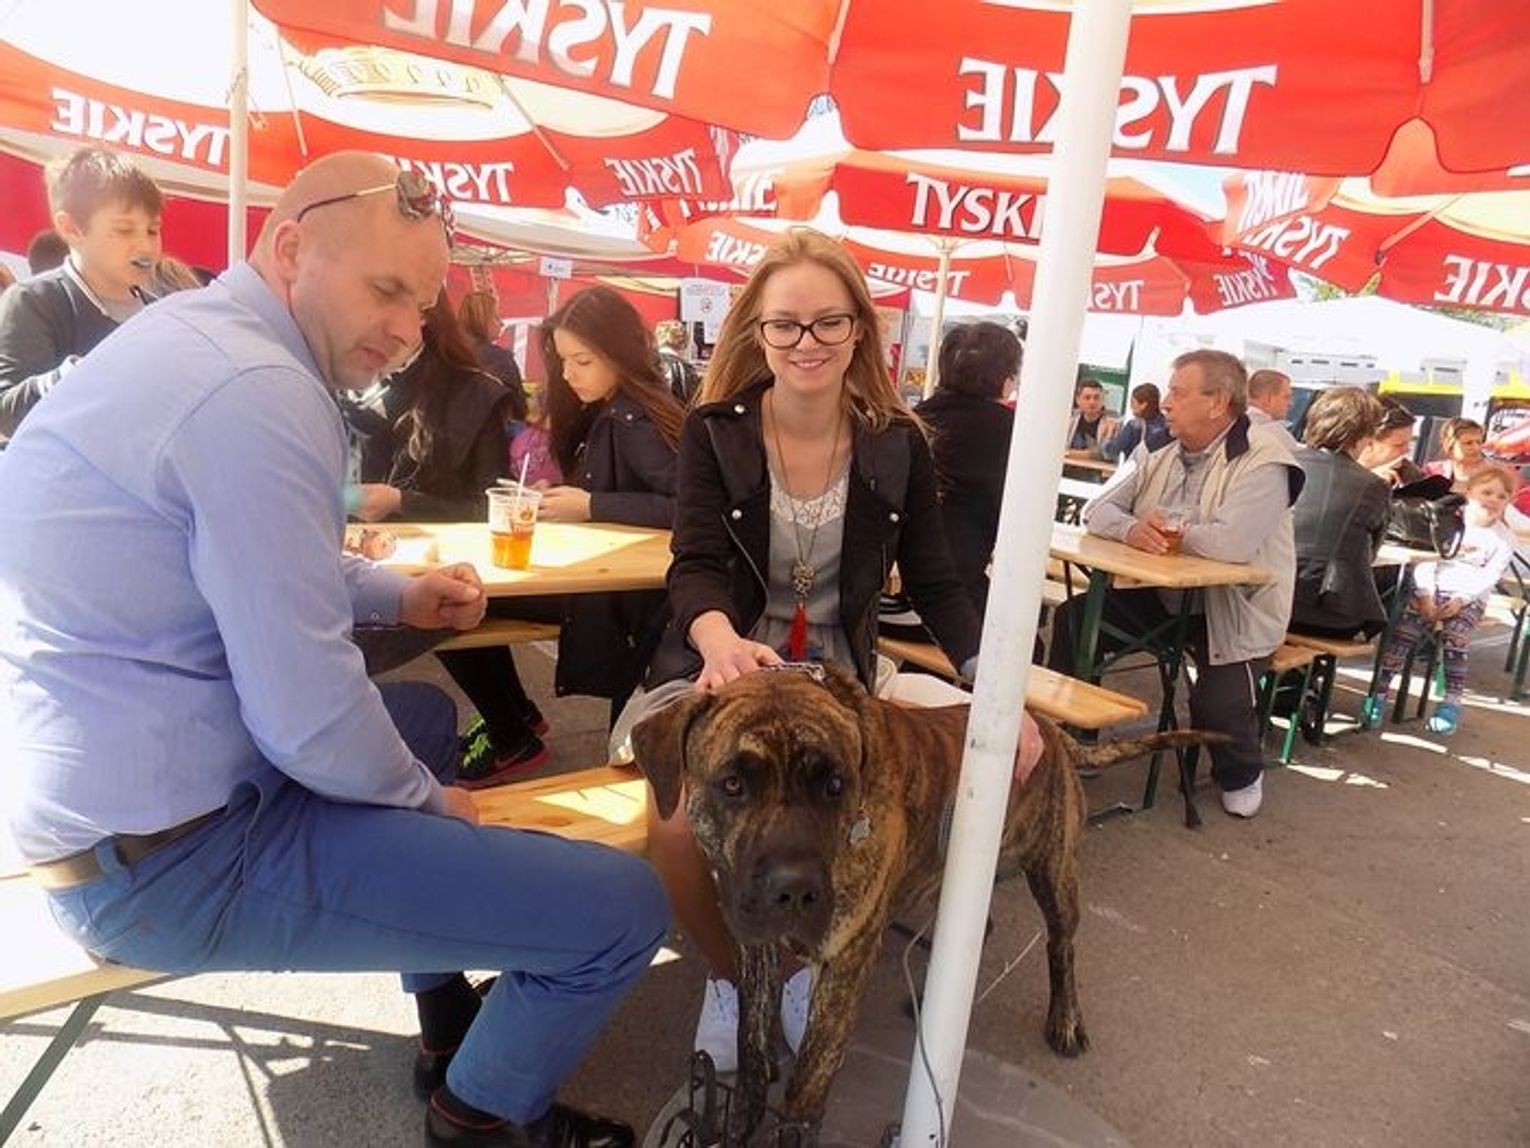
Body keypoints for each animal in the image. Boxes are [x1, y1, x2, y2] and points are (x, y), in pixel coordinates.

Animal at [631, 664, 1223, 1145]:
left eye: (835, 784)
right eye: (732, 784)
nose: (792, 888)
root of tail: (1048, 728)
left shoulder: (846, 962)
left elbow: (806, 1088)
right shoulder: (757, 946)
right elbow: (752, 1052)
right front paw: (736, 1122)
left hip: (1054, 871)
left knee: (1062, 944)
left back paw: (1065, 1019)